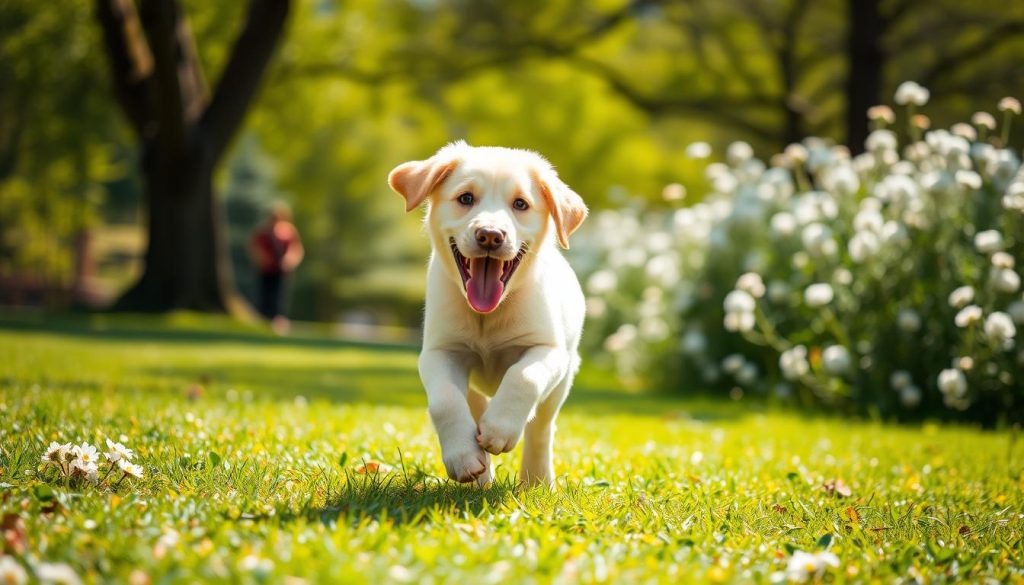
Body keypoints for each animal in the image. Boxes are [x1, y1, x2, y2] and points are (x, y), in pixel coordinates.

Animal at [387, 143, 589, 489]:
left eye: (520, 204)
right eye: (466, 198)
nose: (491, 235)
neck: (488, 315)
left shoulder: (549, 350)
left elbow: (523, 376)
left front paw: (500, 429)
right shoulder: (441, 352)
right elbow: (444, 400)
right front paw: (463, 457)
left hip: (563, 379)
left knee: (541, 427)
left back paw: (536, 480)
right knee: (473, 405)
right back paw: (480, 474)